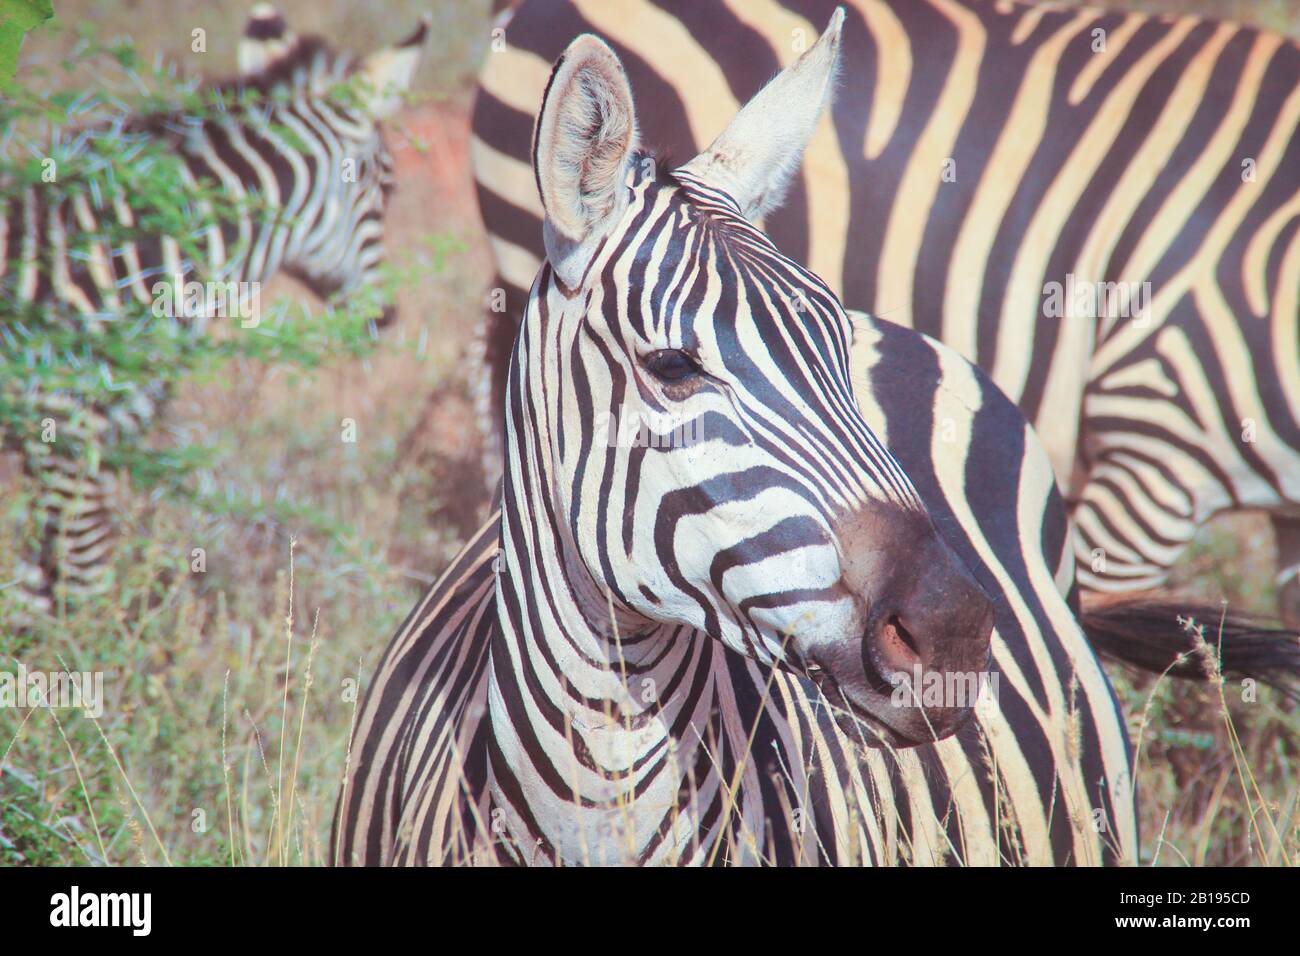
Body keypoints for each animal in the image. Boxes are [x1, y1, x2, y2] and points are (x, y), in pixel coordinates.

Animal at [0, 5, 426, 613]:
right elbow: (84, 585)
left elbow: (43, 586)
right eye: (387, 187)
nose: (385, 316)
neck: (136, 257)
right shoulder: (66, 435)